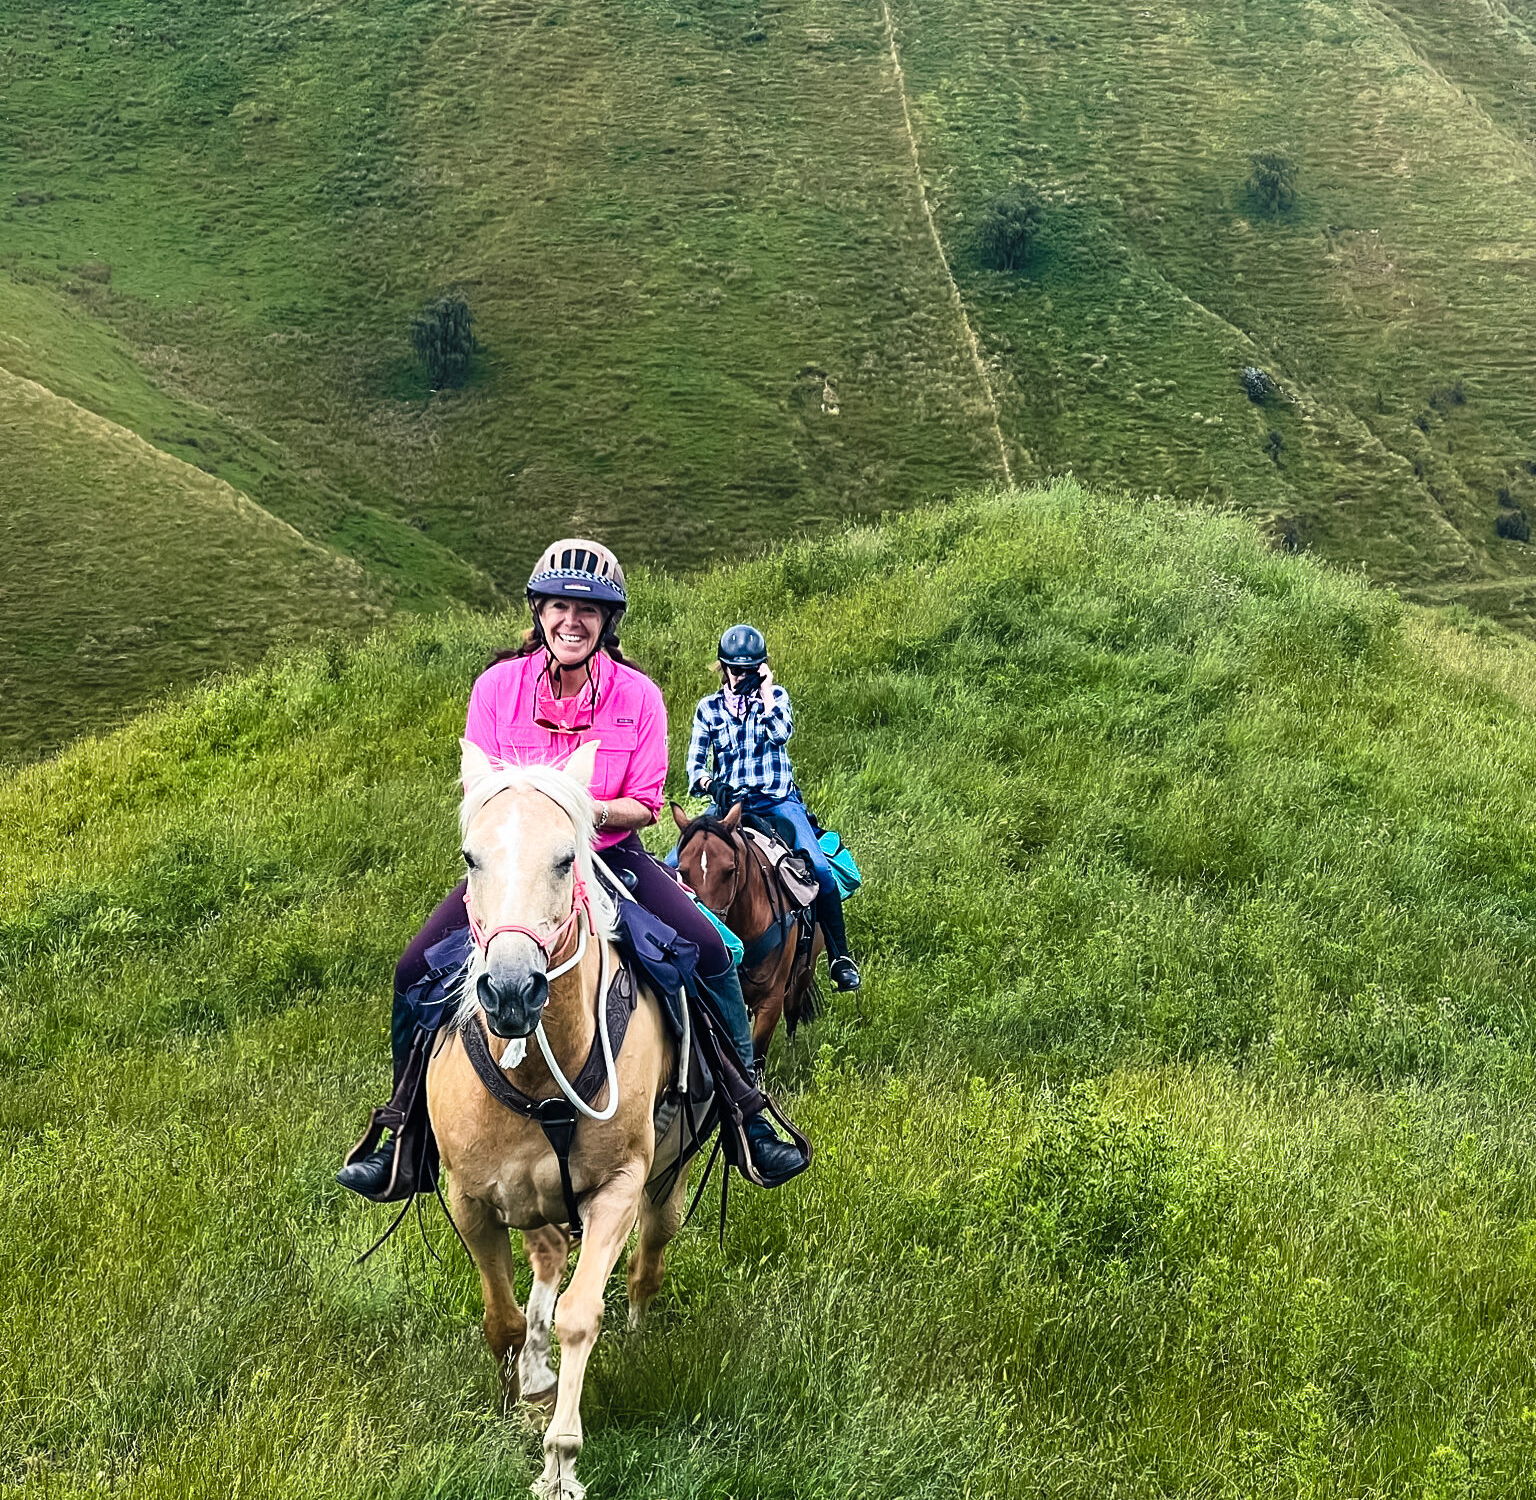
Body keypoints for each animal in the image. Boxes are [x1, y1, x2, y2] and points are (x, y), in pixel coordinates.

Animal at [428, 738, 687, 1500]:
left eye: (567, 858)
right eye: (471, 857)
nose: (512, 989)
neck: (541, 1075)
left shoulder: (618, 1189)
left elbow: (579, 1315)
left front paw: (561, 1462)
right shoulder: (470, 1199)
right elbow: (504, 1318)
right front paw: (520, 1394)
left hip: (665, 1176)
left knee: (648, 1253)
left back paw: (636, 1321)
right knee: (544, 1258)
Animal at [670, 800, 823, 1065]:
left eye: (730, 870)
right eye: (683, 871)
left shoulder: (770, 1002)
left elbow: (758, 1055)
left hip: (805, 970)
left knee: (793, 1012)